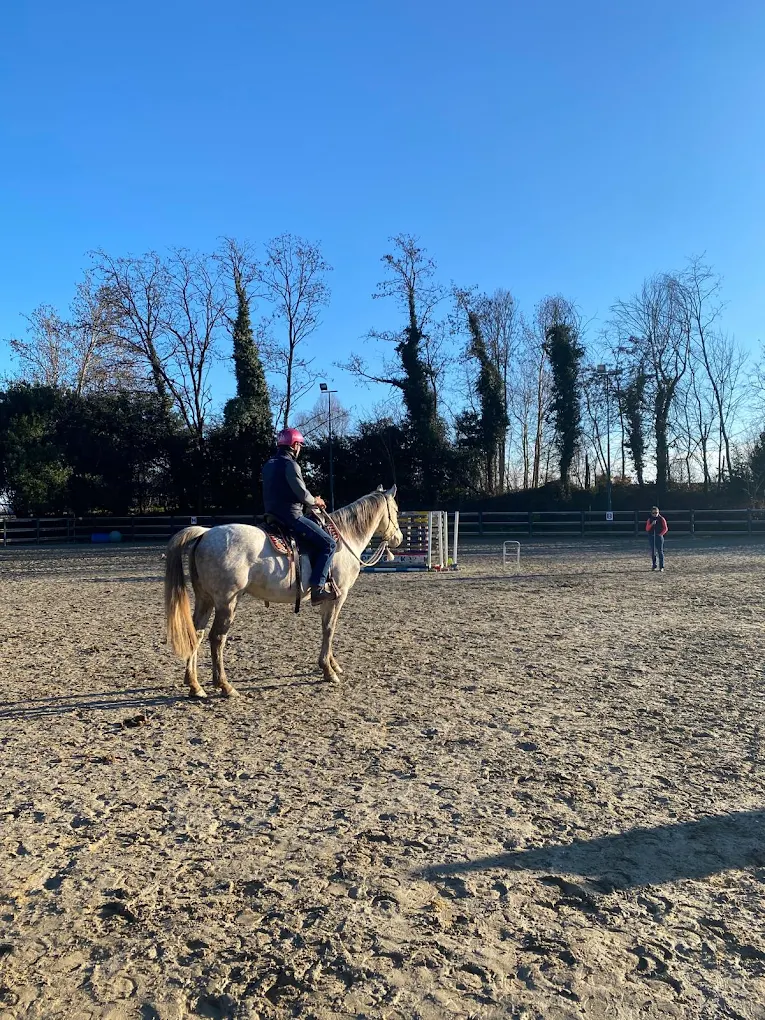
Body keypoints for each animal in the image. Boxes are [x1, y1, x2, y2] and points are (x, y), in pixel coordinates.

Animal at [164, 485, 403, 697]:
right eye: (396, 509)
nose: (398, 538)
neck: (344, 539)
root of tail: (204, 534)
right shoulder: (337, 596)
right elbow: (329, 629)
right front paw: (328, 670)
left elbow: (327, 628)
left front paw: (332, 664)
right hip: (227, 602)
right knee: (217, 637)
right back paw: (225, 685)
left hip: (205, 599)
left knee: (196, 633)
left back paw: (194, 685)